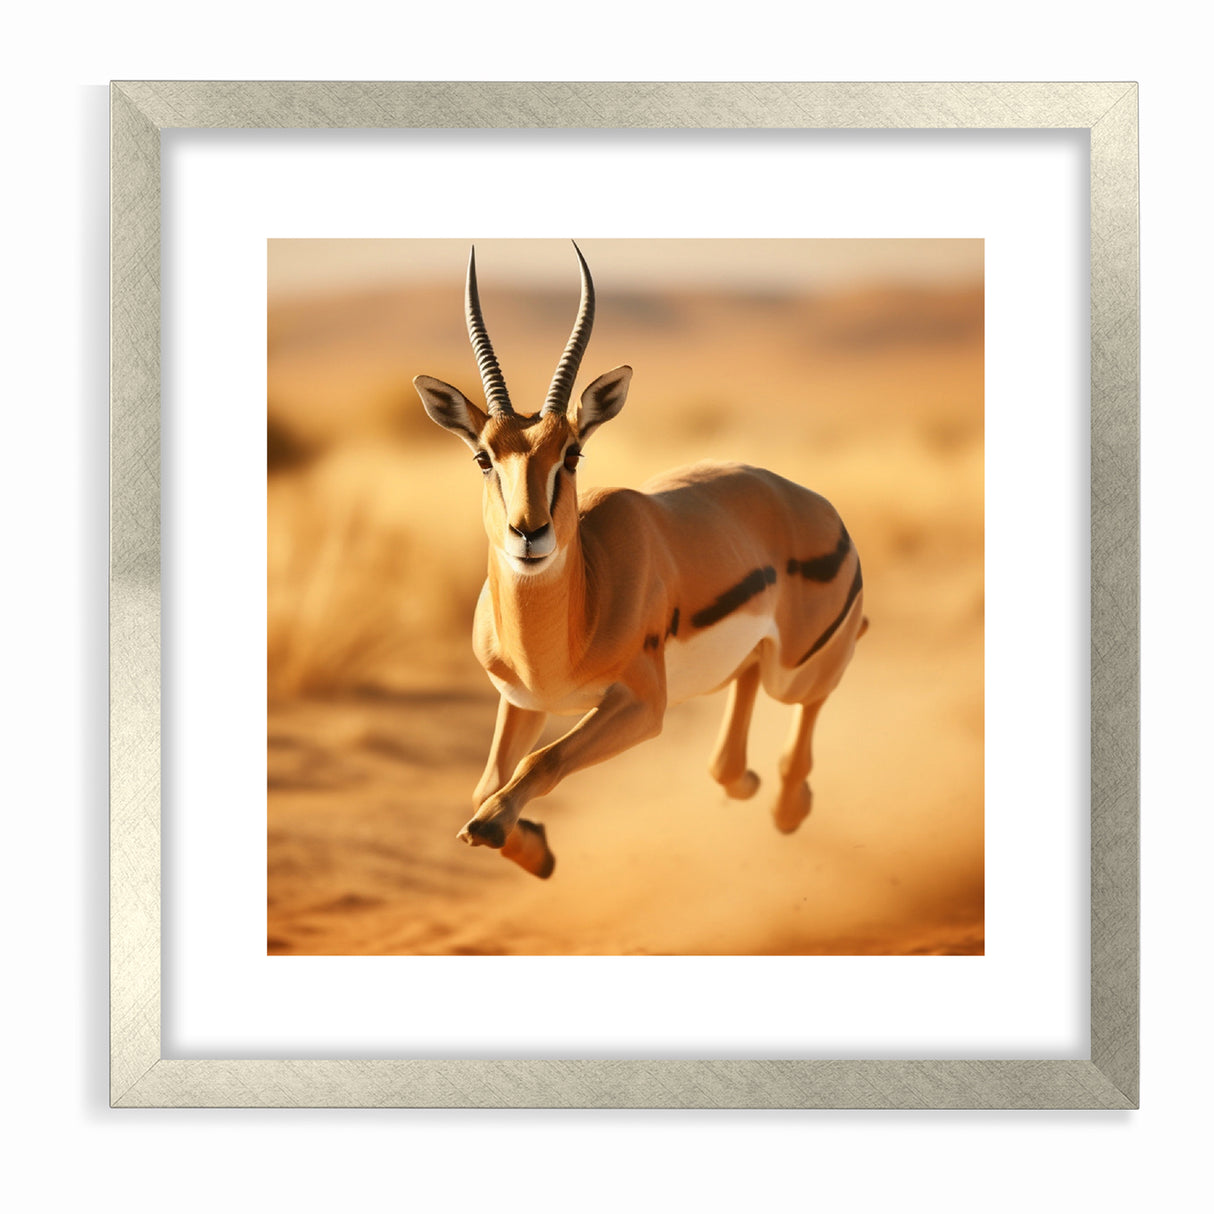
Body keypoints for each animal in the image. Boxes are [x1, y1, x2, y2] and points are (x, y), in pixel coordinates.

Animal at [414, 243, 867, 879]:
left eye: (572, 453)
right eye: (484, 457)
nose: (529, 533)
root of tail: (817, 505)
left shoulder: (643, 705)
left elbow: (537, 764)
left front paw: (499, 829)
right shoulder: (523, 702)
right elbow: (486, 784)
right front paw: (536, 850)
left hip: (796, 670)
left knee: (821, 678)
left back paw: (787, 806)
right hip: (761, 662)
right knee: (742, 699)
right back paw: (746, 784)